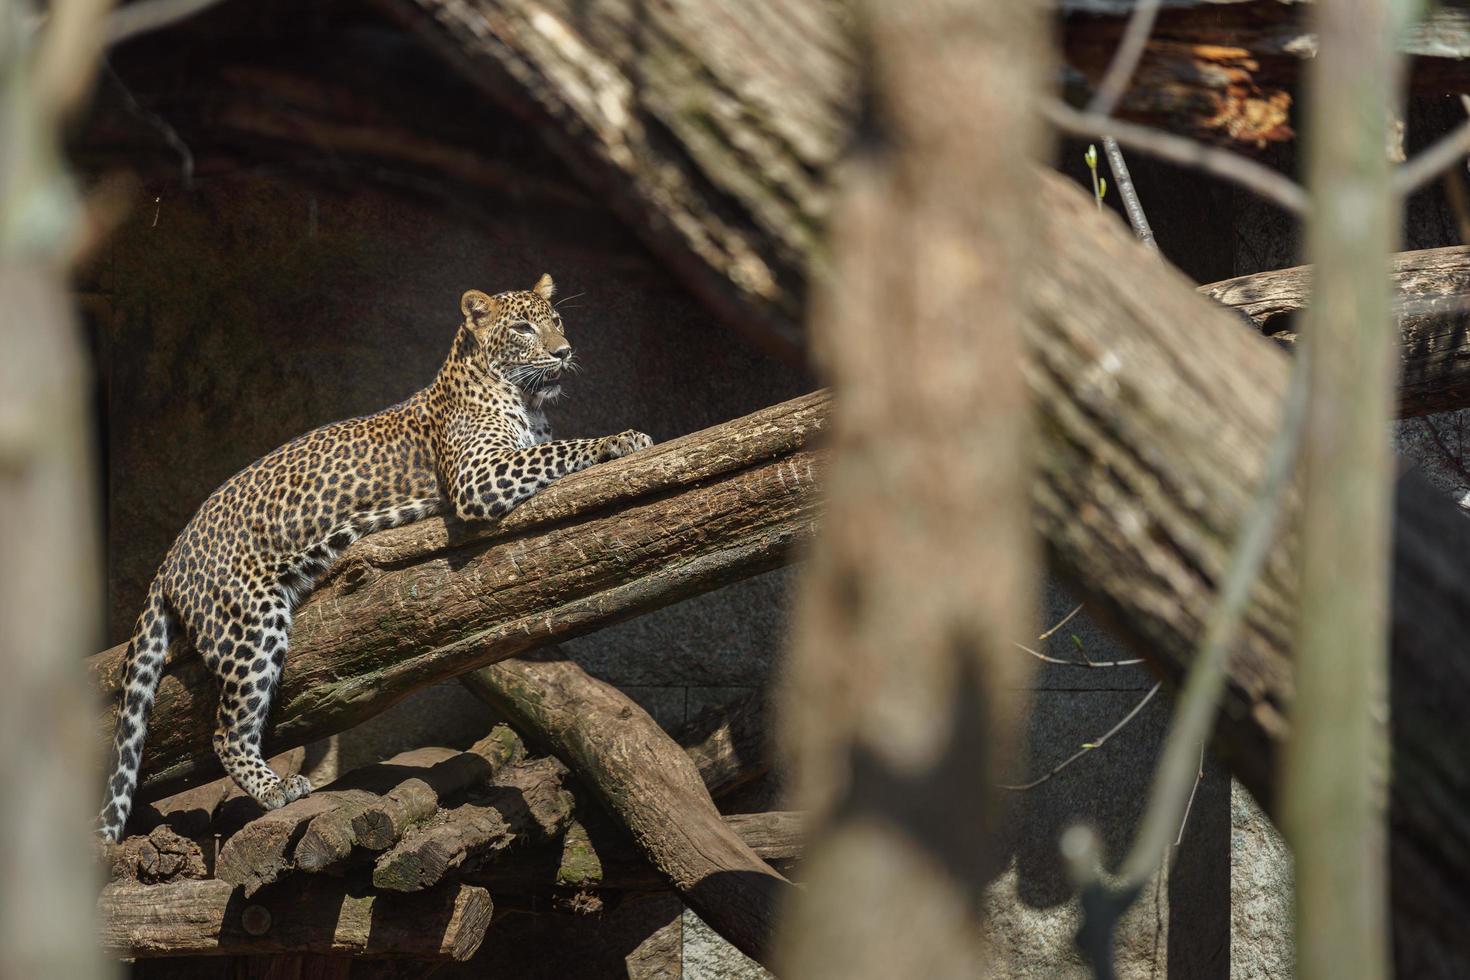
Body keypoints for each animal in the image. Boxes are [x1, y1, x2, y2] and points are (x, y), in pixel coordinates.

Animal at [97, 274, 649, 846]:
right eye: (522, 328)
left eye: (556, 321)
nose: (564, 351)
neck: (524, 399)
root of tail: (172, 553)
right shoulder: (480, 475)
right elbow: (559, 450)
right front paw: (620, 439)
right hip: (249, 625)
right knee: (227, 732)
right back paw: (276, 790)